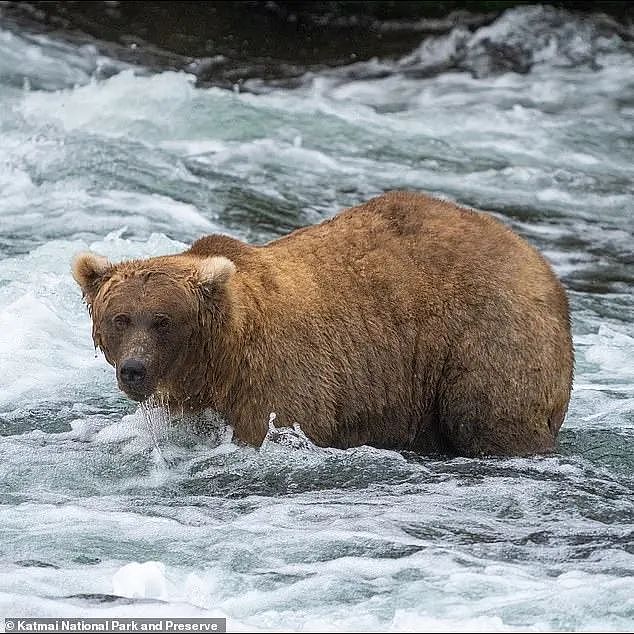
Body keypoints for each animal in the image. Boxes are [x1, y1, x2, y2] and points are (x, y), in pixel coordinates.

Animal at [73, 190, 572, 456]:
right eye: (120, 318)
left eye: (163, 320)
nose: (134, 370)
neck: (218, 361)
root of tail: (537, 259)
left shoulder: (279, 377)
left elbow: (278, 426)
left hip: (487, 335)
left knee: (488, 416)